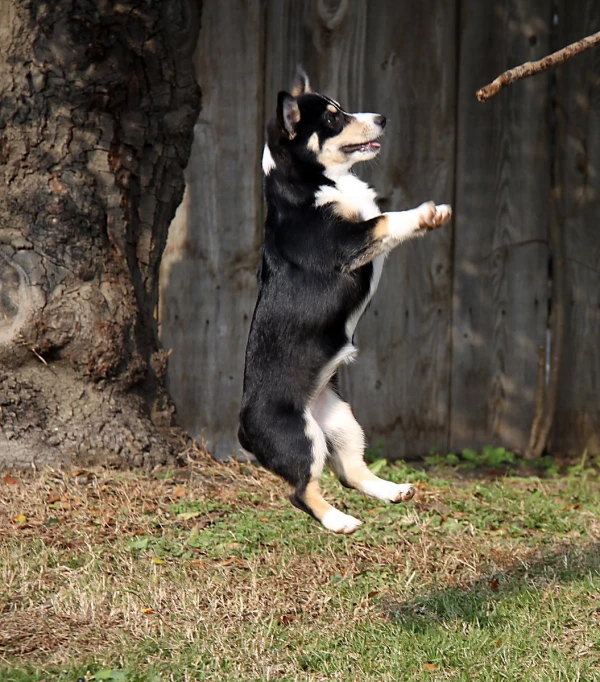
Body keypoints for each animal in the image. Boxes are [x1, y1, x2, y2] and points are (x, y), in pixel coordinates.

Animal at [239, 67, 450, 532]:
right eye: (334, 119)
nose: (383, 118)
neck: (311, 182)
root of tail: (242, 430)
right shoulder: (346, 242)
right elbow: (387, 219)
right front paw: (425, 214)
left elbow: (386, 219)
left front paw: (435, 217)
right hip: (303, 439)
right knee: (302, 491)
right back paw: (339, 521)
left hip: (343, 423)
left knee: (351, 471)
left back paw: (392, 491)